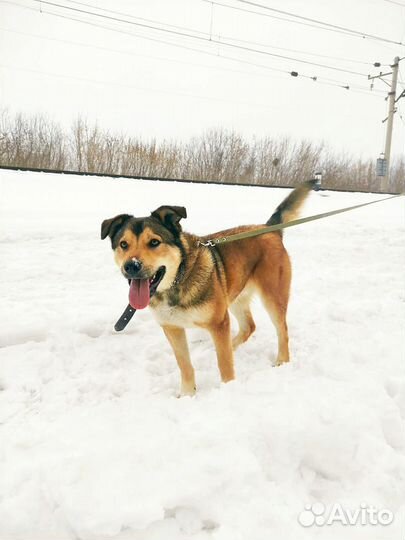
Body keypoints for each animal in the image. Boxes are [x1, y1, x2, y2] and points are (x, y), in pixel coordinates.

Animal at [100, 179, 312, 394]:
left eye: (154, 242)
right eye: (123, 244)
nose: (131, 266)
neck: (178, 281)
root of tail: (270, 228)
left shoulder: (219, 323)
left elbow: (224, 364)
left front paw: (228, 390)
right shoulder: (172, 328)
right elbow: (185, 365)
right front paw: (187, 394)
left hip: (272, 297)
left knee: (282, 331)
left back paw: (281, 360)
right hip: (235, 296)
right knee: (248, 327)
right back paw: (232, 346)